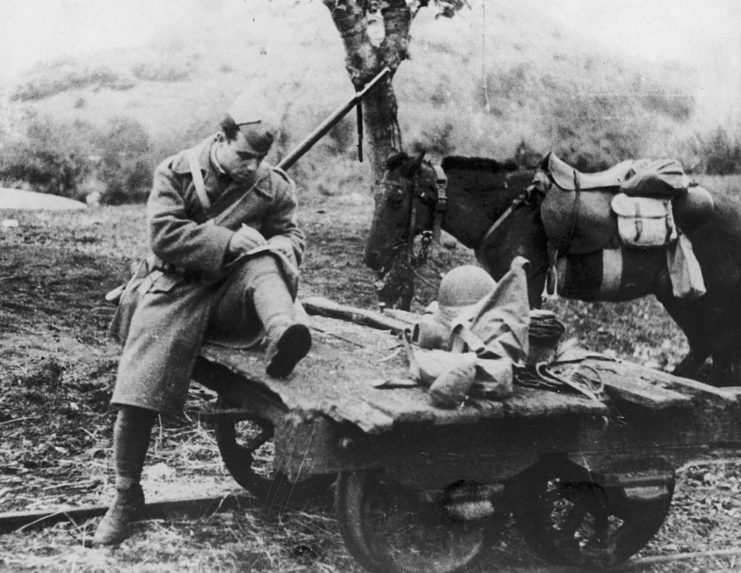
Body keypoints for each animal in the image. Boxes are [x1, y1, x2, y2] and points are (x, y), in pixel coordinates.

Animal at [366, 151, 741, 384]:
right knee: (704, 348)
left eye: (396, 199)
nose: (372, 257)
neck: (508, 208)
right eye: (376, 195)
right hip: (682, 299)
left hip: (710, 302)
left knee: (720, 354)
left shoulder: (528, 285)